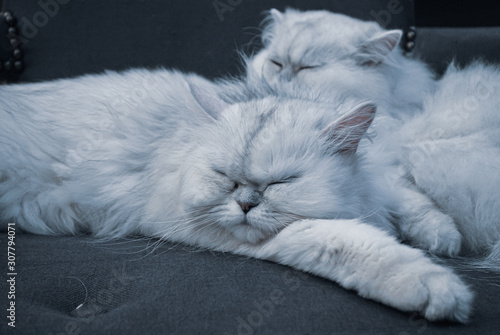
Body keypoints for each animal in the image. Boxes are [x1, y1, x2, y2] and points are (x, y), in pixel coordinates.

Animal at [0, 69, 472, 322]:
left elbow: (404, 194)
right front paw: (436, 288)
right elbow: (347, 240)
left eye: (281, 182)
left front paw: (443, 235)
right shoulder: (190, 221)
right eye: (225, 178)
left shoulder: (378, 179)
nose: (245, 205)